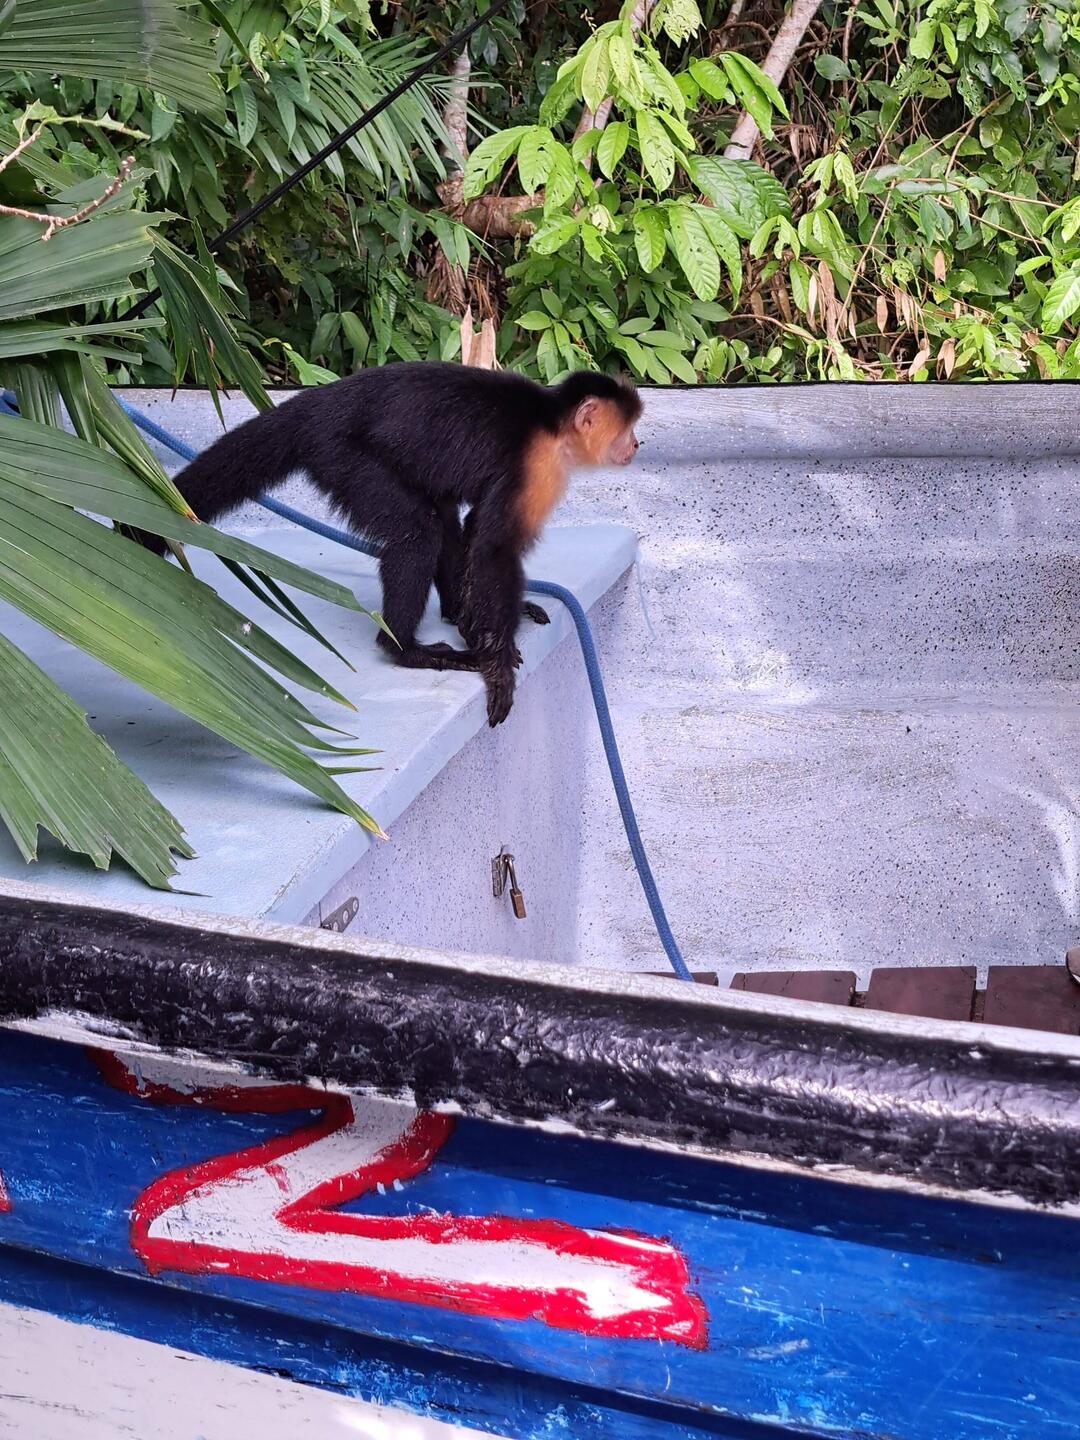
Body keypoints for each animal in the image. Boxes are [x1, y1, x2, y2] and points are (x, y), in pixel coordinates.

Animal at [140, 362, 642, 726]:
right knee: (417, 532)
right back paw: (405, 649)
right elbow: (494, 549)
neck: (554, 426)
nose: (638, 445)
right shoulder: (538, 465)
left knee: (440, 515)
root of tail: (321, 401)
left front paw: (485, 622)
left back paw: (454, 614)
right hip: (342, 455)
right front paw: (498, 665)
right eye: (627, 430)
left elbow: (476, 528)